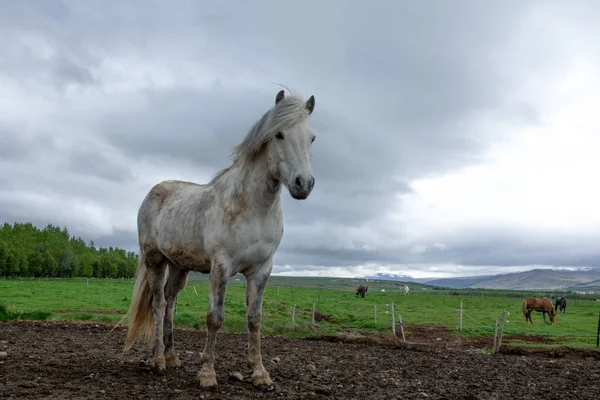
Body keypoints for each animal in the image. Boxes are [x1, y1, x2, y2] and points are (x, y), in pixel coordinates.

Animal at [123, 90, 318, 388]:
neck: (254, 208)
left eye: (312, 138)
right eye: (279, 134)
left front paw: (260, 373)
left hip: (179, 267)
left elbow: (255, 319)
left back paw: (172, 357)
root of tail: (154, 192)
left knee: (171, 304)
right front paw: (207, 373)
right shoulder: (221, 267)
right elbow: (214, 318)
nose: (303, 183)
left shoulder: (262, 270)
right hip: (155, 260)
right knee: (158, 304)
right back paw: (158, 360)